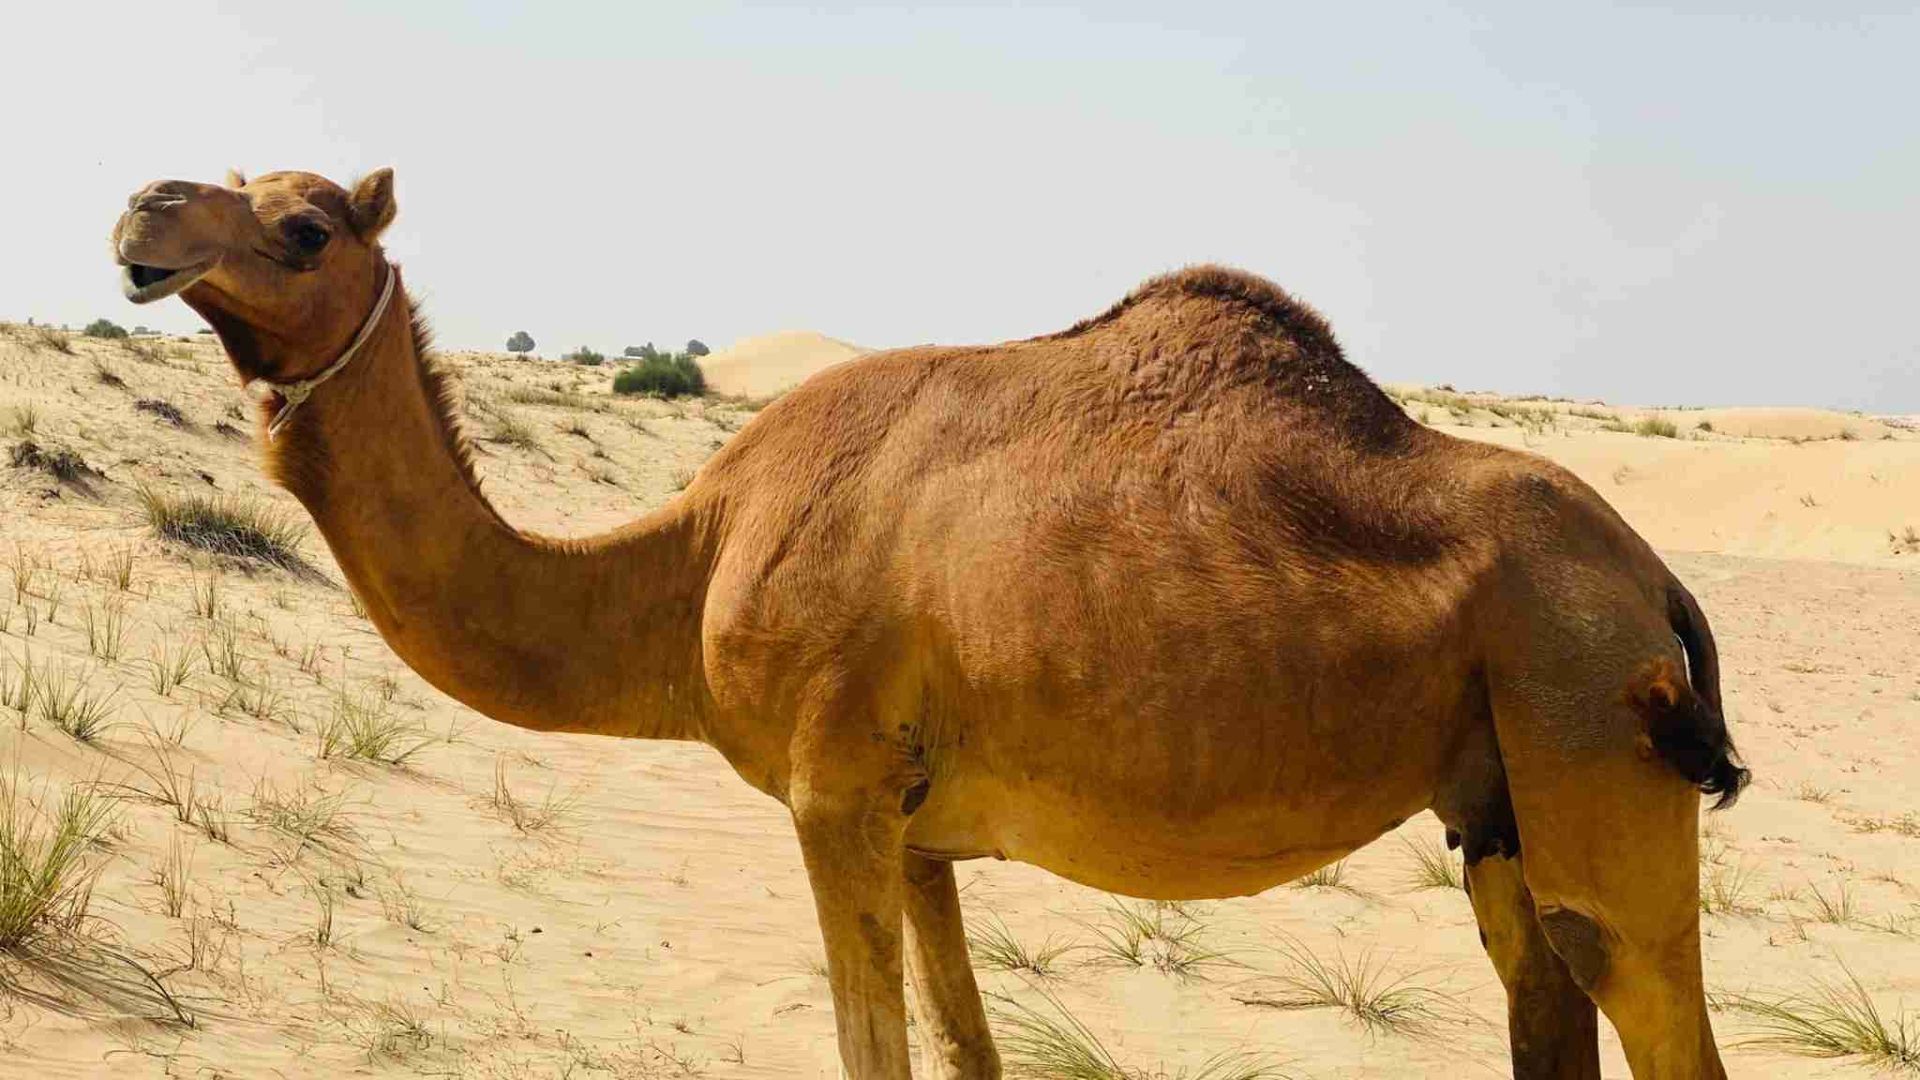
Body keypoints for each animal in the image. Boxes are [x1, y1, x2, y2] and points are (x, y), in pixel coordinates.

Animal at [109, 168, 1749, 1079]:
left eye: (305, 227)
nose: (143, 213)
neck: (691, 560)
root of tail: (1657, 581)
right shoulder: (919, 829)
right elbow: (965, 1050)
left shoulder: (830, 791)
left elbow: (874, 1054)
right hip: (1497, 794)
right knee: (1542, 982)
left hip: (1586, 707)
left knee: (1640, 989)